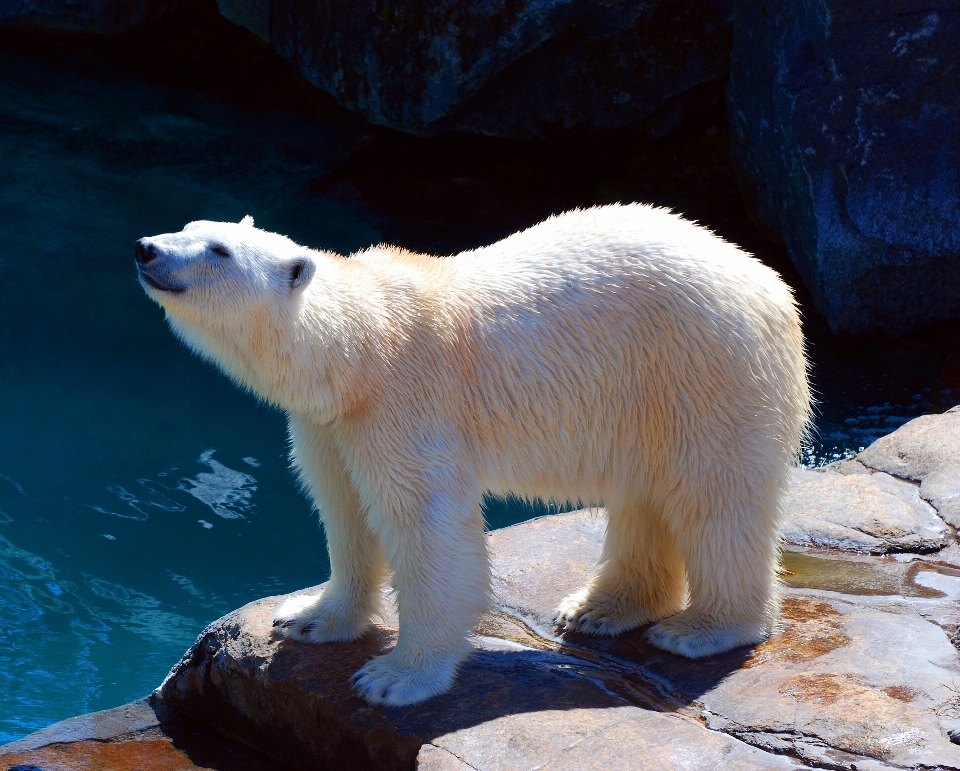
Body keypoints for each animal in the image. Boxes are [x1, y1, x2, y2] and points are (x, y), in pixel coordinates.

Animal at [135, 204, 808, 704]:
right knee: (646, 494)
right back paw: (598, 610)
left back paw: (703, 629)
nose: (146, 247)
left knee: (715, 496)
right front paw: (308, 617)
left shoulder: (404, 404)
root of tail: (771, 286)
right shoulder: (331, 424)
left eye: (219, 251)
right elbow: (344, 508)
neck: (359, 349)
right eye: (189, 227)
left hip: (705, 367)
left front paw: (396, 677)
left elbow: (426, 525)